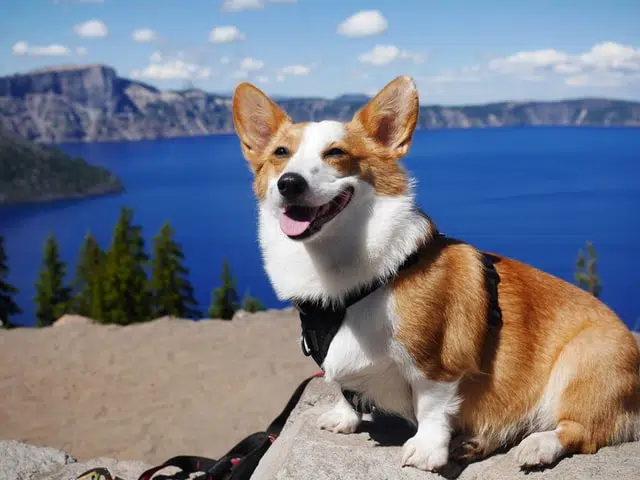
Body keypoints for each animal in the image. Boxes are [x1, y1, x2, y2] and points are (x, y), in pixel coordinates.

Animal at [230, 76, 640, 472]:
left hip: (584, 364)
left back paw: (538, 445)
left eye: (336, 153)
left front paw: (426, 451)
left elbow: (431, 407)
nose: (289, 183)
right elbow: (343, 387)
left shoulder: (436, 363)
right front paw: (343, 418)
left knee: (580, 431)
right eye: (280, 154)